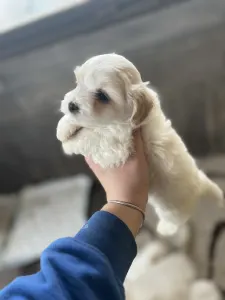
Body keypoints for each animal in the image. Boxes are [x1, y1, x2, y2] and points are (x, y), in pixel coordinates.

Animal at [56, 54, 223, 237]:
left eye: (102, 96)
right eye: (78, 83)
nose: (71, 105)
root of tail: (201, 183)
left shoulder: (118, 146)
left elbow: (94, 136)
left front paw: (69, 142)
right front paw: (65, 126)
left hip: (175, 210)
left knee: (176, 220)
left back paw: (165, 229)